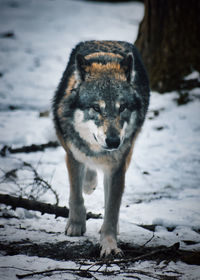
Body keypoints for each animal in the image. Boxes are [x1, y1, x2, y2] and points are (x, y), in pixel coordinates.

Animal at [52, 40, 149, 258]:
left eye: (123, 107)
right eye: (96, 108)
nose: (113, 141)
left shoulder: (117, 167)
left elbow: (112, 210)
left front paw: (109, 245)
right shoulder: (72, 154)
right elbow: (75, 194)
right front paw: (76, 224)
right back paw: (89, 183)